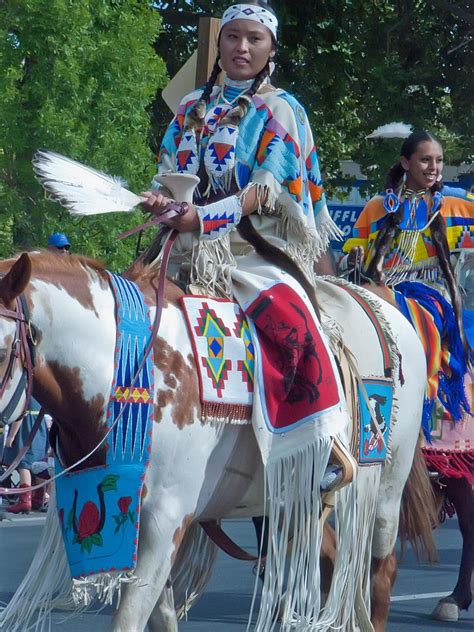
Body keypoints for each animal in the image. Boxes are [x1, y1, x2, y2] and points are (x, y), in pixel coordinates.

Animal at [0, 253, 430, 632]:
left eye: (3, 351)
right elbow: (160, 617)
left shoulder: (164, 521)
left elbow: (128, 620)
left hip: (384, 489)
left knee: (378, 577)